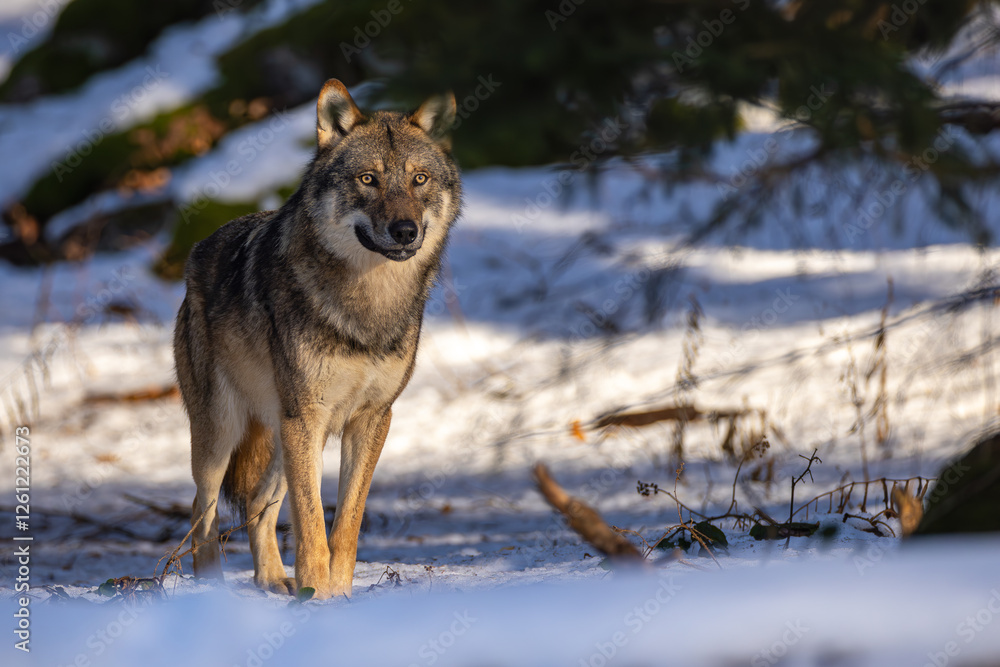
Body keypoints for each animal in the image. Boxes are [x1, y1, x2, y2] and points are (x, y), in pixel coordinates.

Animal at [173, 79, 461, 599]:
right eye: (368, 179)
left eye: (419, 179)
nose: (405, 230)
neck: (368, 304)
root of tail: (199, 248)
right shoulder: (307, 416)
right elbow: (311, 526)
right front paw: (317, 596)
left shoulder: (371, 418)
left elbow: (346, 523)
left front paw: (338, 594)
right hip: (223, 433)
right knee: (201, 512)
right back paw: (216, 592)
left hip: (286, 436)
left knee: (256, 506)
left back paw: (271, 580)